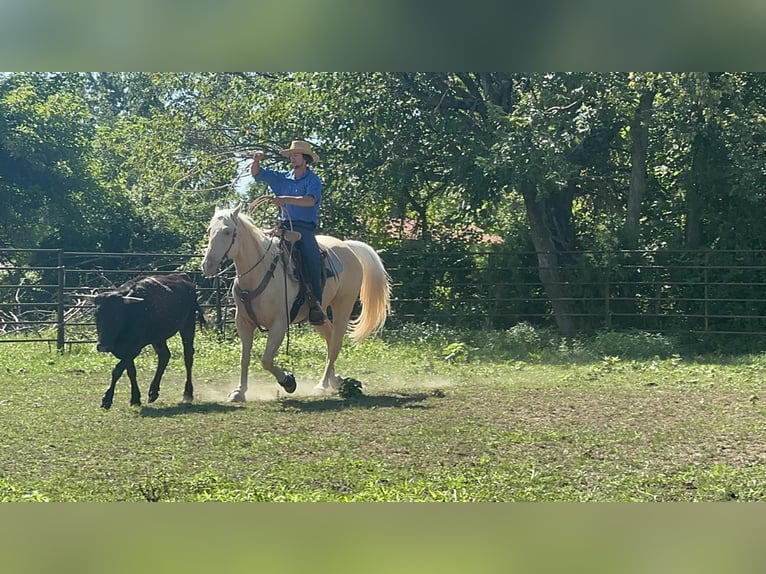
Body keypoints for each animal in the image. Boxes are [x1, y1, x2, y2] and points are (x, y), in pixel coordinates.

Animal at [200, 204, 392, 400]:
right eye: (209, 230)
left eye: (227, 231)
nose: (207, 265)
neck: (259, 272)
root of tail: (348, 246)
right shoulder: (243, 322)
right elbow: (244, 358)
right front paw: (239, 391)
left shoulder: (279, 324)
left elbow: (266, 360)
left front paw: (288, 381)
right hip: (318, 314)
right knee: (330, 337)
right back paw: (336, 380)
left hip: (343, 306)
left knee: (335, 344)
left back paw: (322, 385)